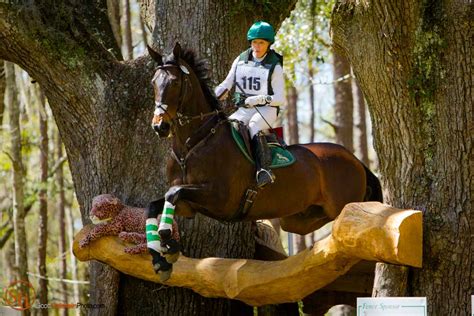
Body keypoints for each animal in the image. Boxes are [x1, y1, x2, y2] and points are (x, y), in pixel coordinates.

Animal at [144, 42, 382, 272]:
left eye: (175, 82)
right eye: (153, 83)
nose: (159, 127)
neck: (193, 144)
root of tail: (355, 160)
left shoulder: (220, 198)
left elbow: (173, 193)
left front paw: (167, 242)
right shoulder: (190, 205)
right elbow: (156, 204)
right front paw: (159, 257)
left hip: (344, 205)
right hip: (299, 218)